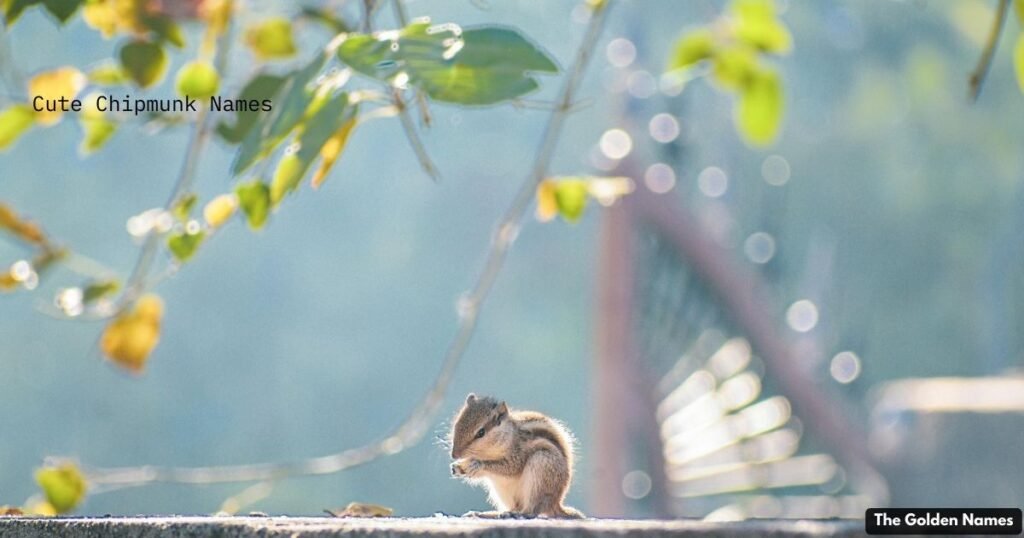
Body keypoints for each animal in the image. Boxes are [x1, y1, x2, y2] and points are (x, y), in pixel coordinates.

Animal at [448, 393, 584, 519]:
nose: (454, 455)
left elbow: (510, 467)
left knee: (532, 510)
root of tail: (555, 503)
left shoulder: (518, 454)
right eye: (456, 425)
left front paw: (477, 464)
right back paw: (488, 513)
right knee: (515, 506)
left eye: (481, 432)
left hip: (541, 466)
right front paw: (457, 468)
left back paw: (518, 514)